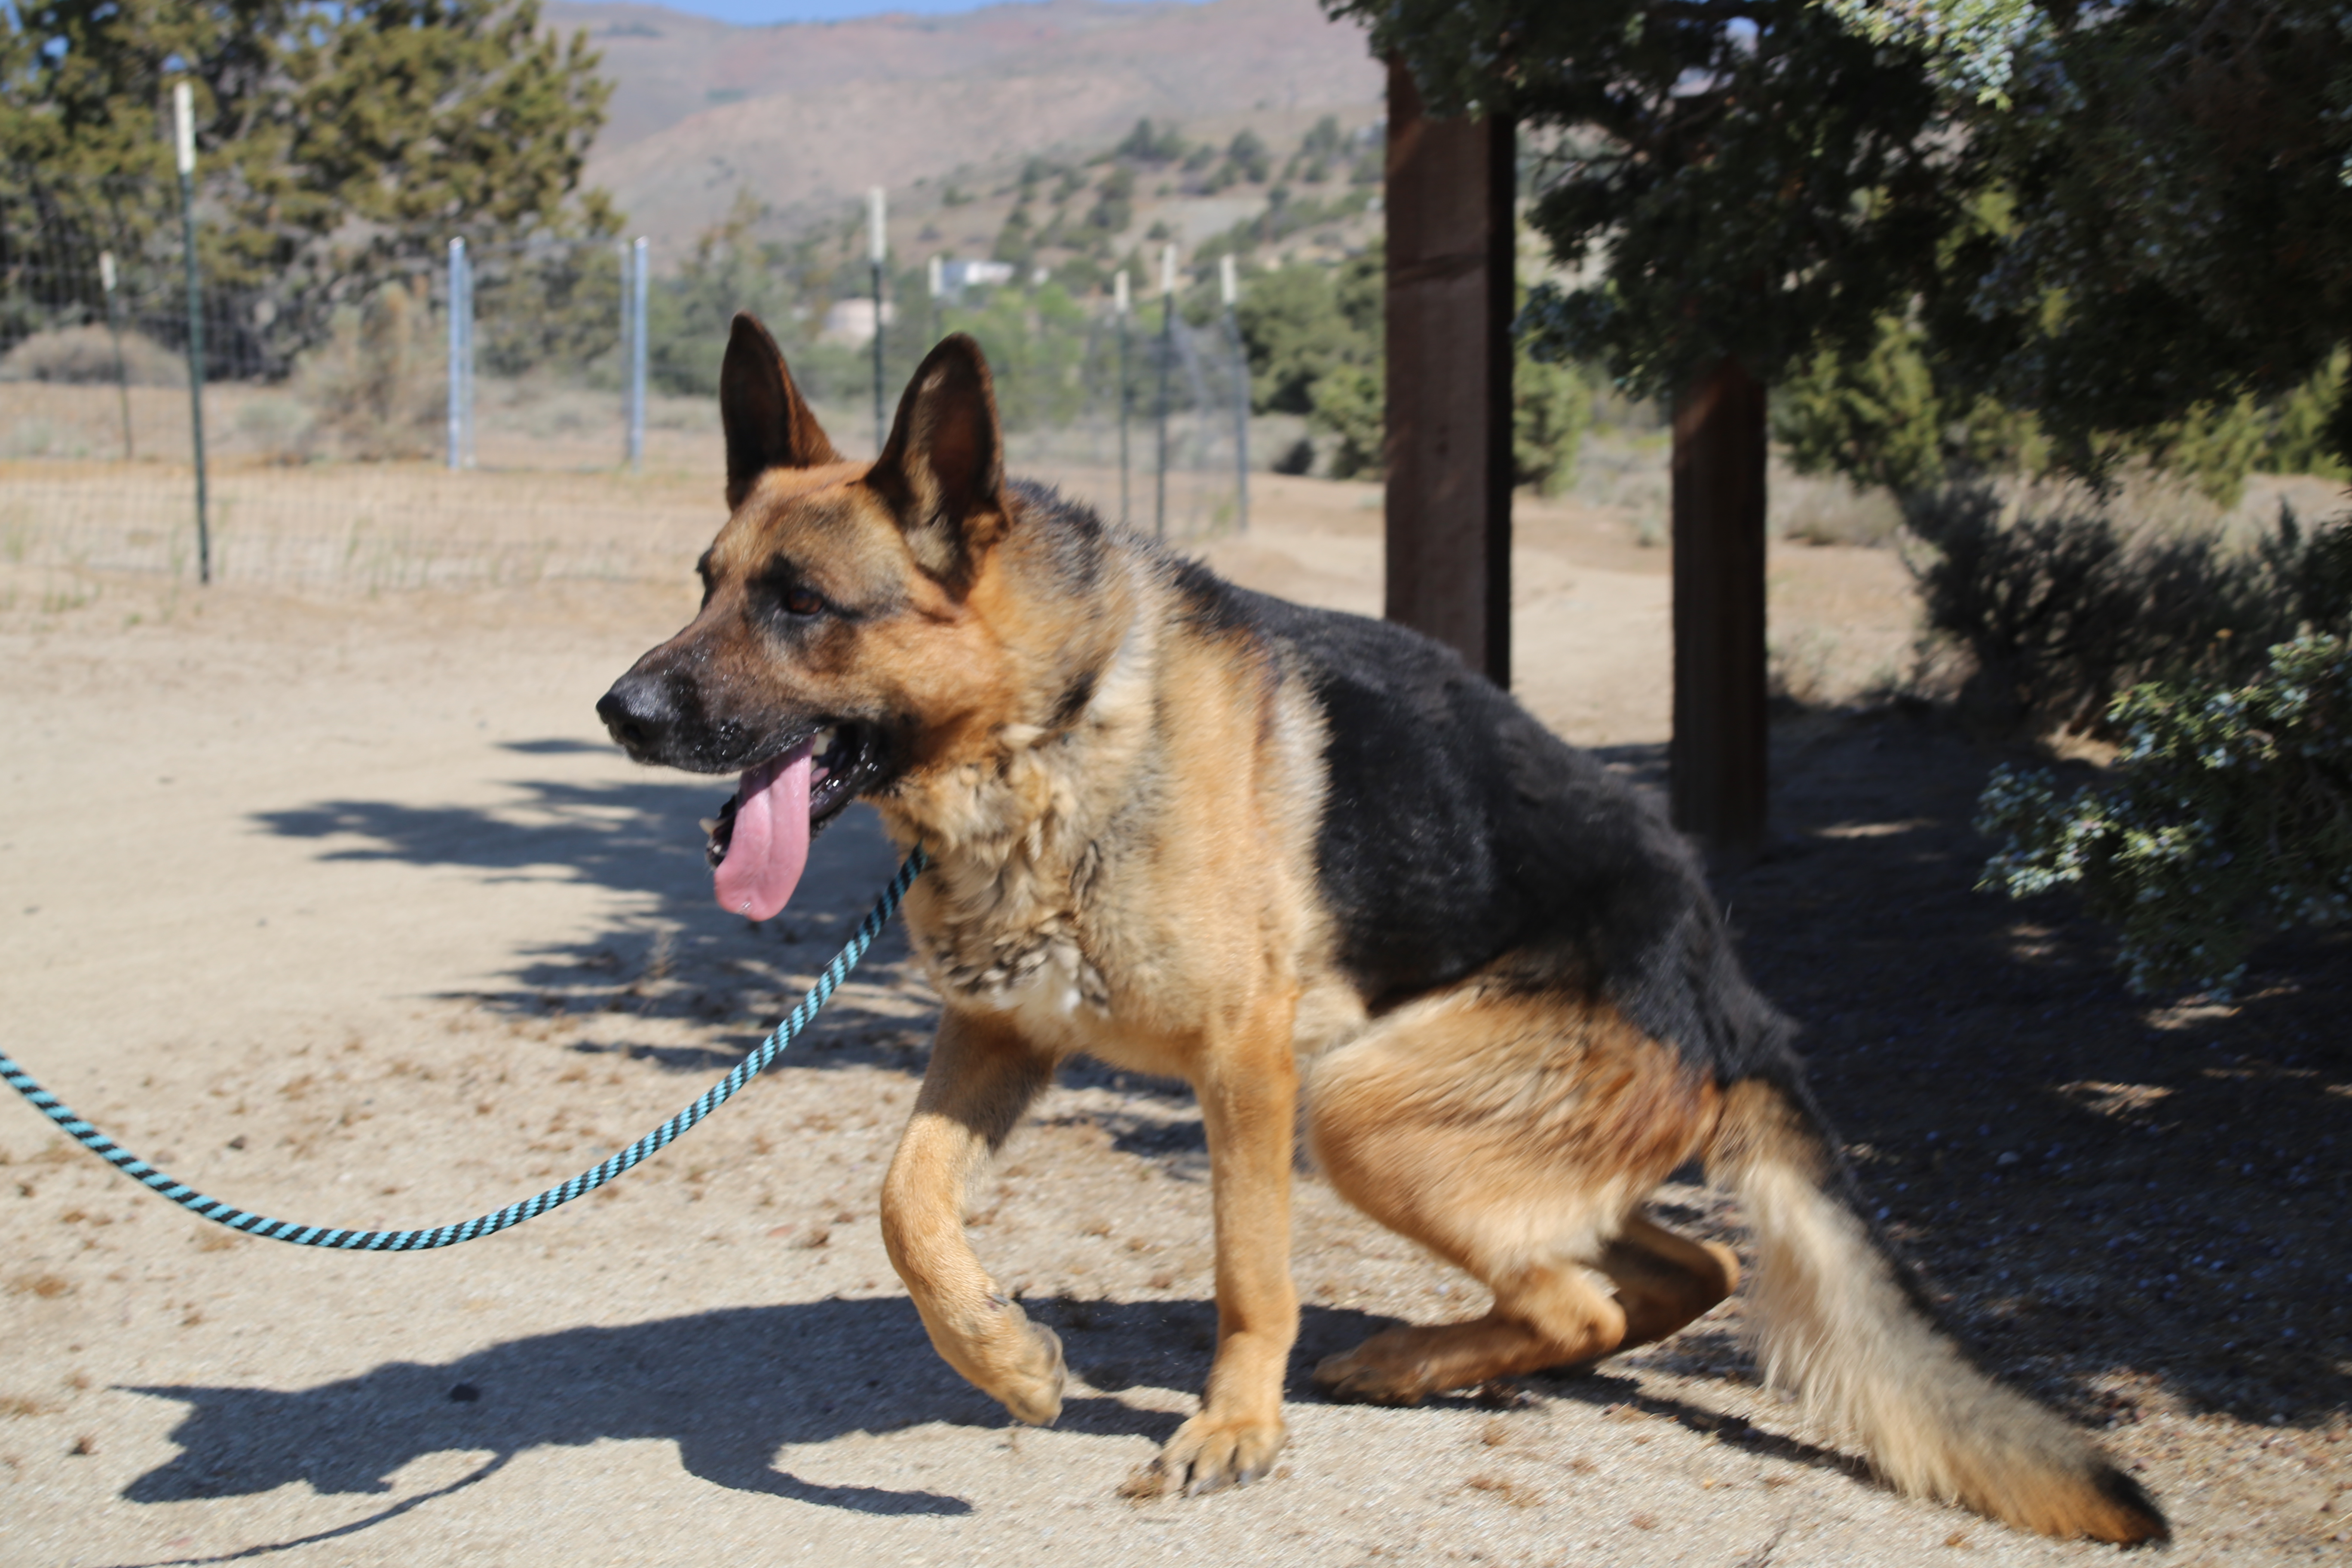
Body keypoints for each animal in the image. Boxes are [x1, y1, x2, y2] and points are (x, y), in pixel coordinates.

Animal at [602, 319, 2164, 1542]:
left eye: (801, 604)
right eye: (704, 583)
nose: (620, 712)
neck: (1057, 724)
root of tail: (1729, 988)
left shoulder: (1247, 1067)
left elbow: (1248, 1273)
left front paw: (1233, 1427)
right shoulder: (1000, 1034)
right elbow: (906, 1204)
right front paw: (1009, 1360)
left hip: (1360, 1108)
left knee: (1588, 1297)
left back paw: (1407, 1360)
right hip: (1457, 1128)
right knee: (1684, 1270)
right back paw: (1440, 1355)